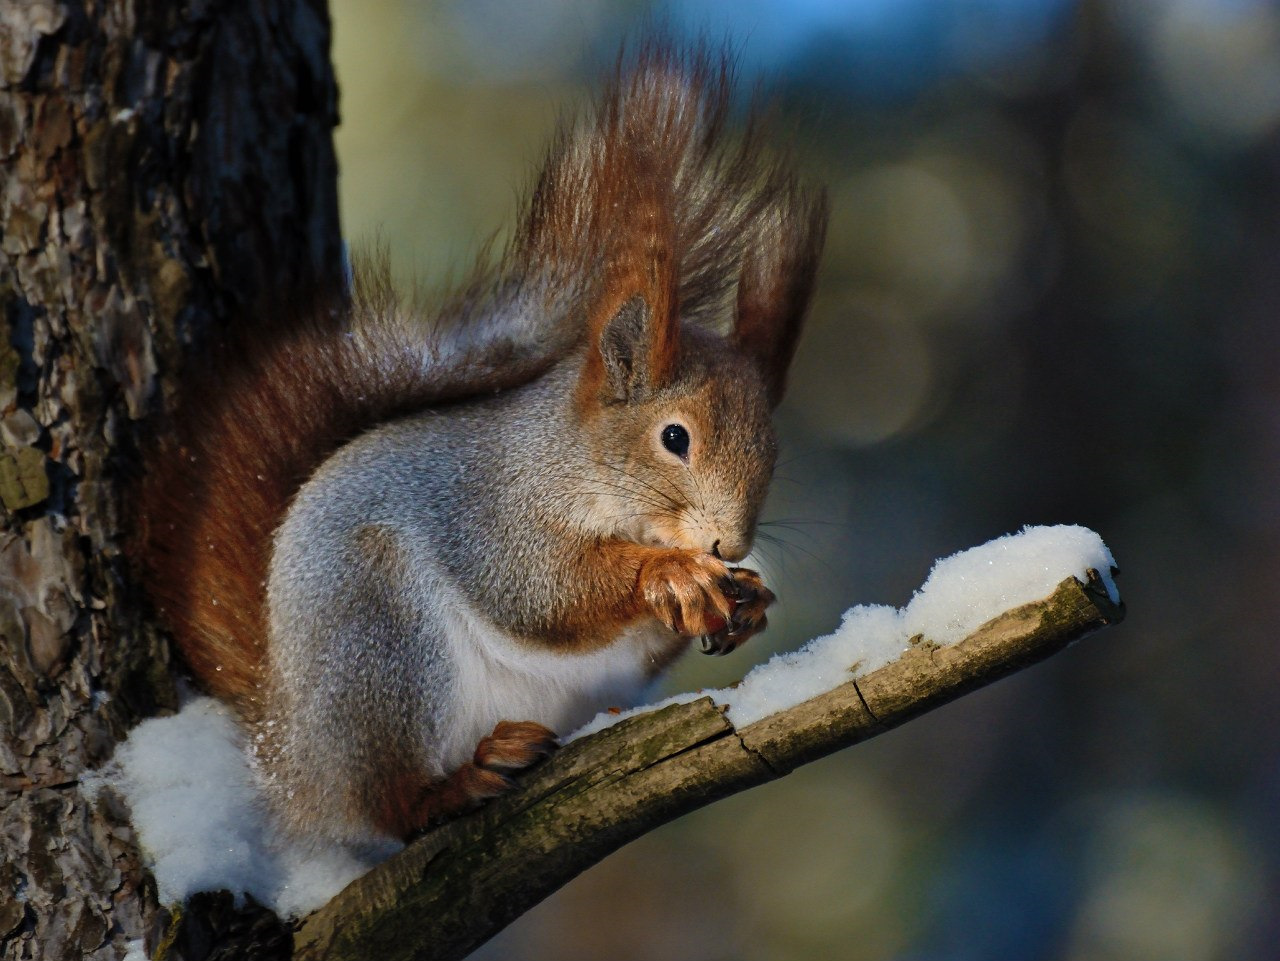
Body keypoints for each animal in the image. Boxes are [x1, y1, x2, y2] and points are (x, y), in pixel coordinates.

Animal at [137, 45, 829, 844]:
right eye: (674, 437)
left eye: (772, 450)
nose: (729, 545)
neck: (574, 461)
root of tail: (288, 761)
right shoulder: (489, 510)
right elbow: (538, 590)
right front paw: (670, 574)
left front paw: (750, 603)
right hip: (380, 638)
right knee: (388, 800)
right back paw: (456, 782)